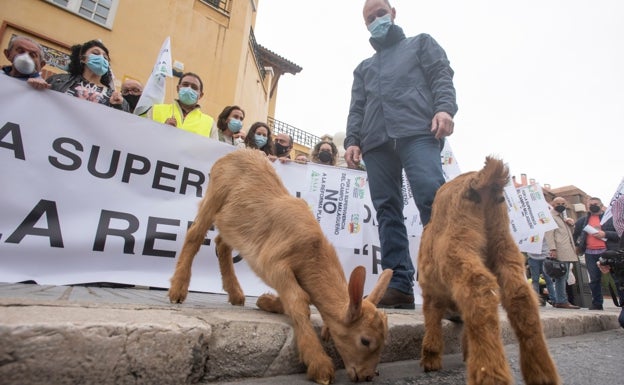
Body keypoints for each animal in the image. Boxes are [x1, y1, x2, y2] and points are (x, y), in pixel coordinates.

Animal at [168, 148, 392, 382]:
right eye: (365, 340)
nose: (367, 376)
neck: (311, 251)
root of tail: (238, 152)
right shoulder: (274, 263)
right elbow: (298, 300)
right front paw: (319, 363)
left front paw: (267, 301)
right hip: (215, 195)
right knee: (195, 234)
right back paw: (178, 288)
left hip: (233, 223)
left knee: (222, 243)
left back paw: (235, 293)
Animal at [416, 156, 560, 384]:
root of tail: (478, 179)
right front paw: (466, 351)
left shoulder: (432, 294)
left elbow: (432, 320)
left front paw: (431, 358)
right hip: (505, 248)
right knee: (521, 298)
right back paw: (542, 375)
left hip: (458, 249)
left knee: (479, 289)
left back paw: (490, 374)